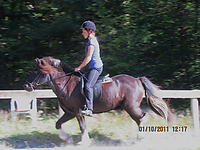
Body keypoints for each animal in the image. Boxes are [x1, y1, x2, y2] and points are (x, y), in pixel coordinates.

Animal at [23, 56, 173, 146]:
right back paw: (139, 138)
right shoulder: (70, 112)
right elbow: (58, 123)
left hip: (132, 107)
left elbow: (82, 127)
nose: (26, 85)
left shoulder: (78, 111)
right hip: (130, 108)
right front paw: (67, 138)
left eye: (36, 71)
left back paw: (141, 137)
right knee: (139, 119)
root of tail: (137, 80)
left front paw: (84, 142)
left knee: (143, 117)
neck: (66, 84)